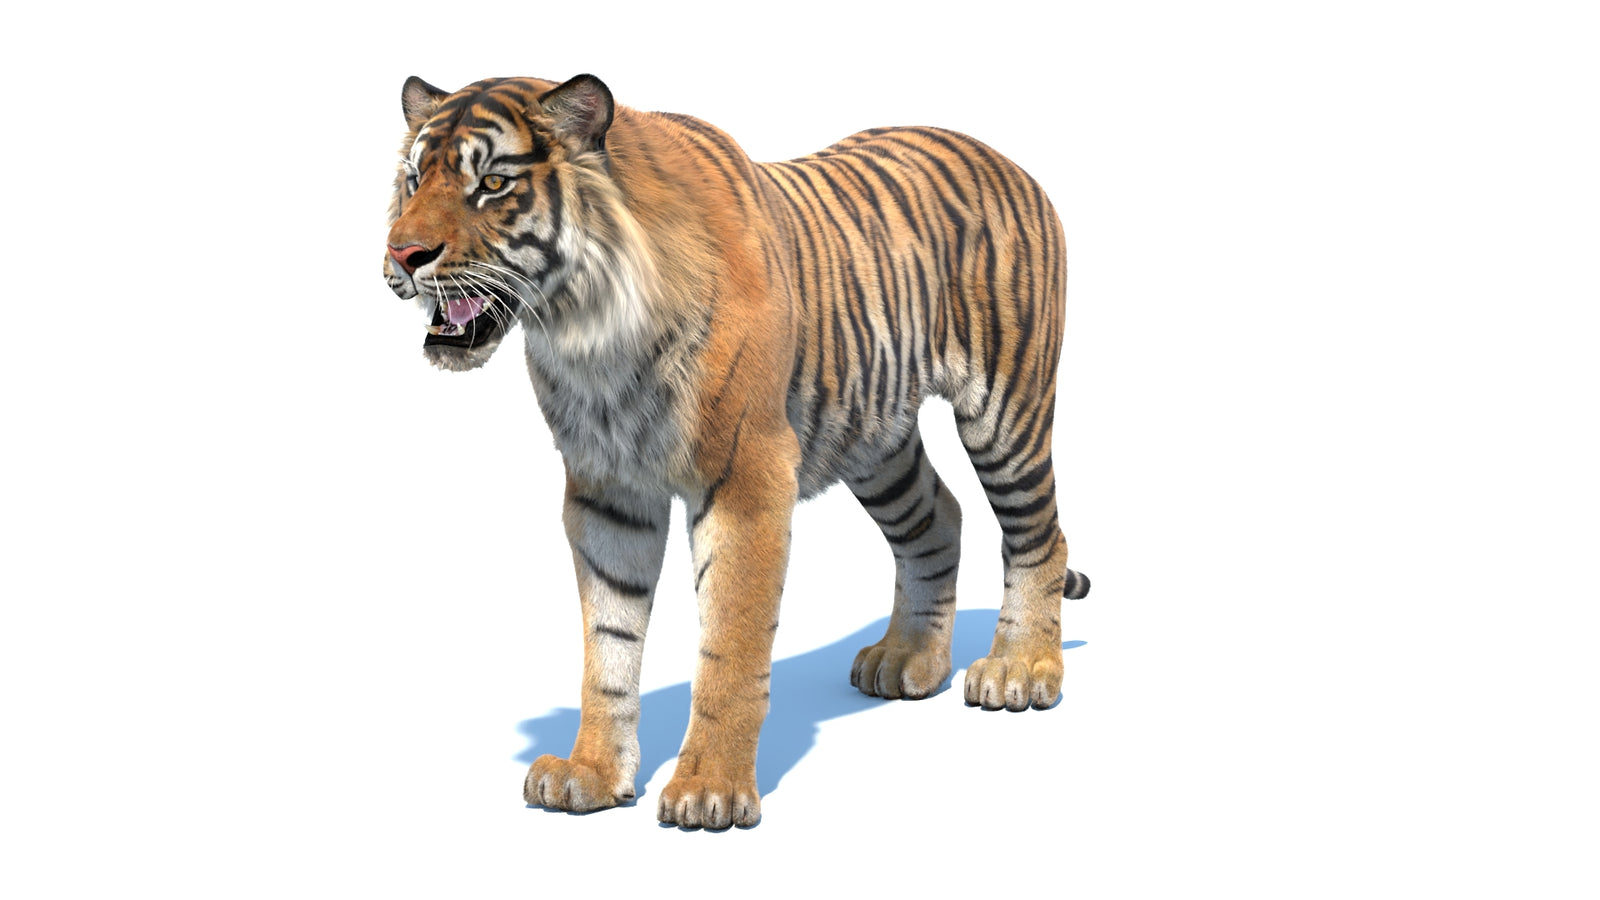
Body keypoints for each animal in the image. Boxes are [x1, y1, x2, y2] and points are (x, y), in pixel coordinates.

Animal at [383, 73, 1090, 829]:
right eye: (414, 179)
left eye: (492, 183)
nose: (401, 255)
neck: (589, 334)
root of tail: (1005, 159)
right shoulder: (606, 494)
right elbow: (608, 647)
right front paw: (591, 774)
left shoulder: (745, 479)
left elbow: (731, 643)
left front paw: (709, 789)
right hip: (875, 438)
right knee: (941, 517)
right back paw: (908, 661)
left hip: (1006, 408)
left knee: (1038, 535)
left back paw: (1020, 670)